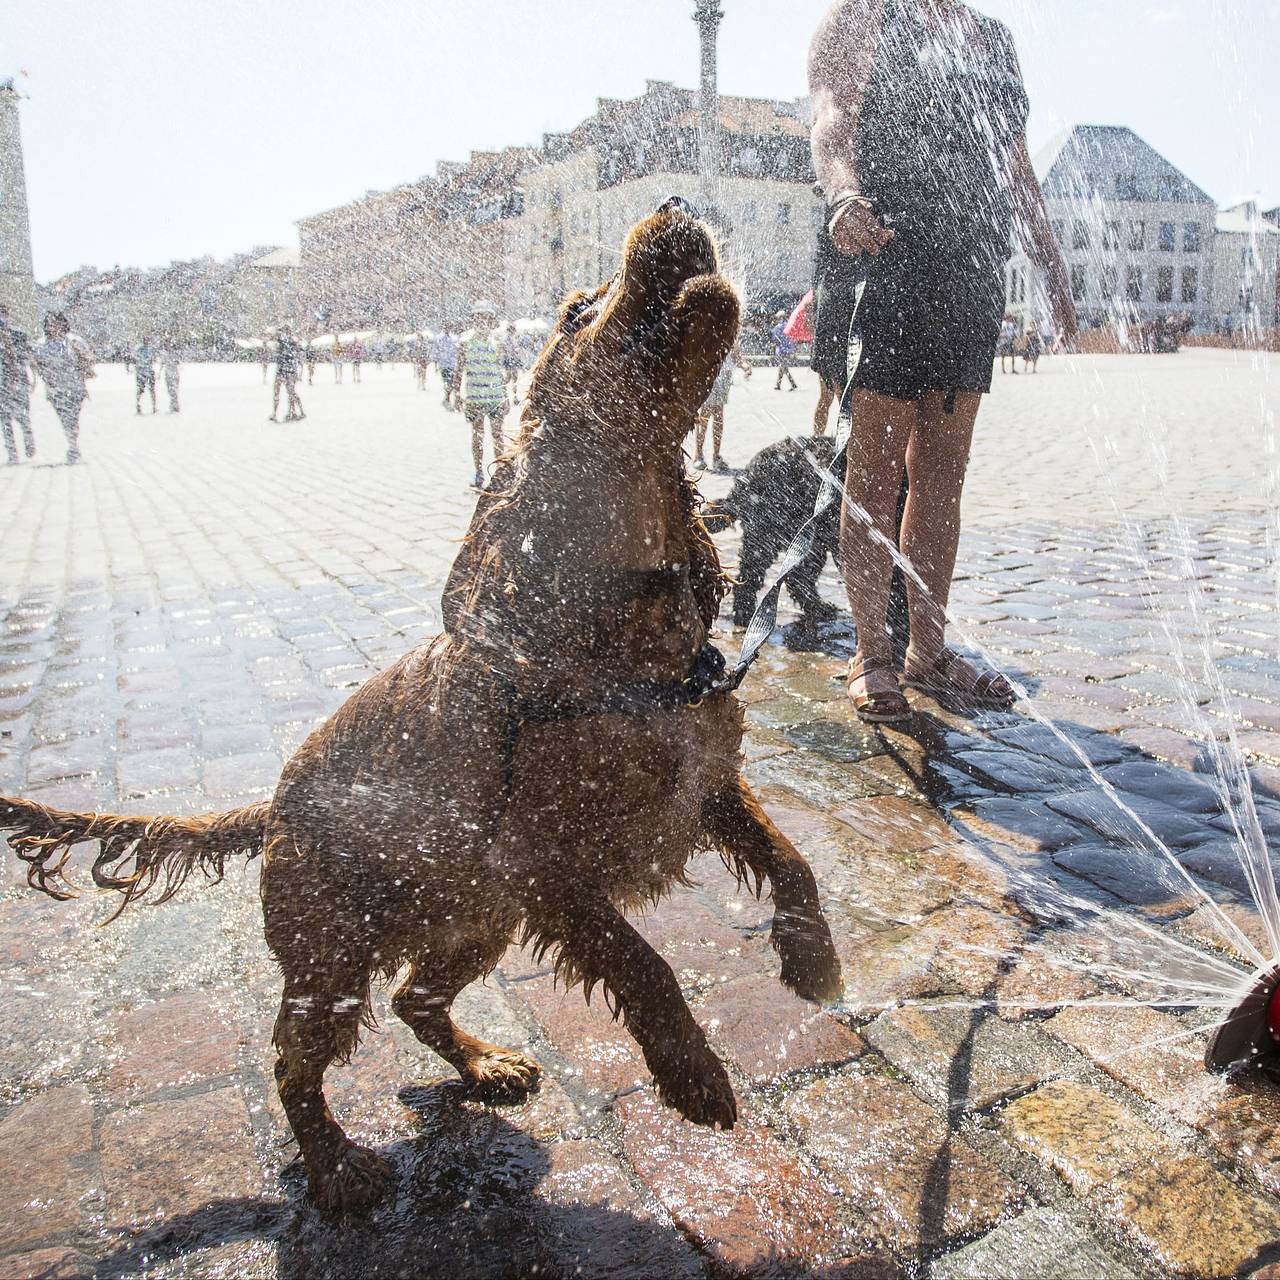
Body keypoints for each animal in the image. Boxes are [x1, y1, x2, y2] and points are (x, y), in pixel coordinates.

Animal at [0, 199, 844, 1208]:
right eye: (576, 309)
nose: (674, 205)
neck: (618, 629)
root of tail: (272, 805)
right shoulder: (542, 864)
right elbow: (645, 961)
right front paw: (694, 1075)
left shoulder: (707, 782)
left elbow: (791, 858)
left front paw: (814, 960)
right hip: (333, 953)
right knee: (293, 1063)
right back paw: (339, 1167)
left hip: (469, 918)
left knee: (413, 999)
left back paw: (487, 1067)